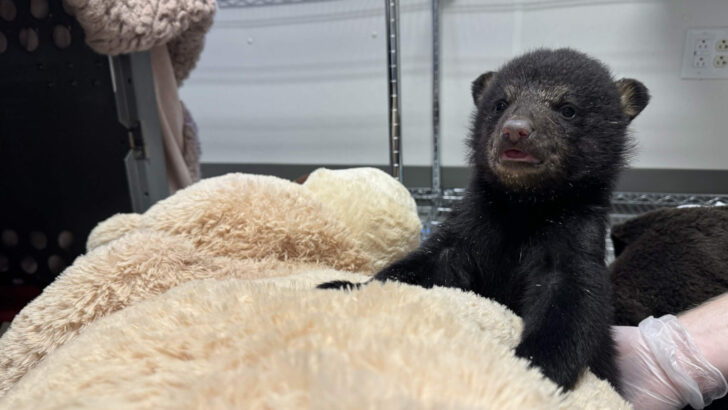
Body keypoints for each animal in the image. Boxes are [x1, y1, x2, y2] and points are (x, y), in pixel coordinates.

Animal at [320, 48, 649, 392]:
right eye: (500, 104)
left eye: (568, 109)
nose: (515, 130)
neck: (525, 206)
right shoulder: (473, 222)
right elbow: (426, 263)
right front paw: (342, 285)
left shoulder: (574, 235)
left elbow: (573, 303)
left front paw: (533, 366)